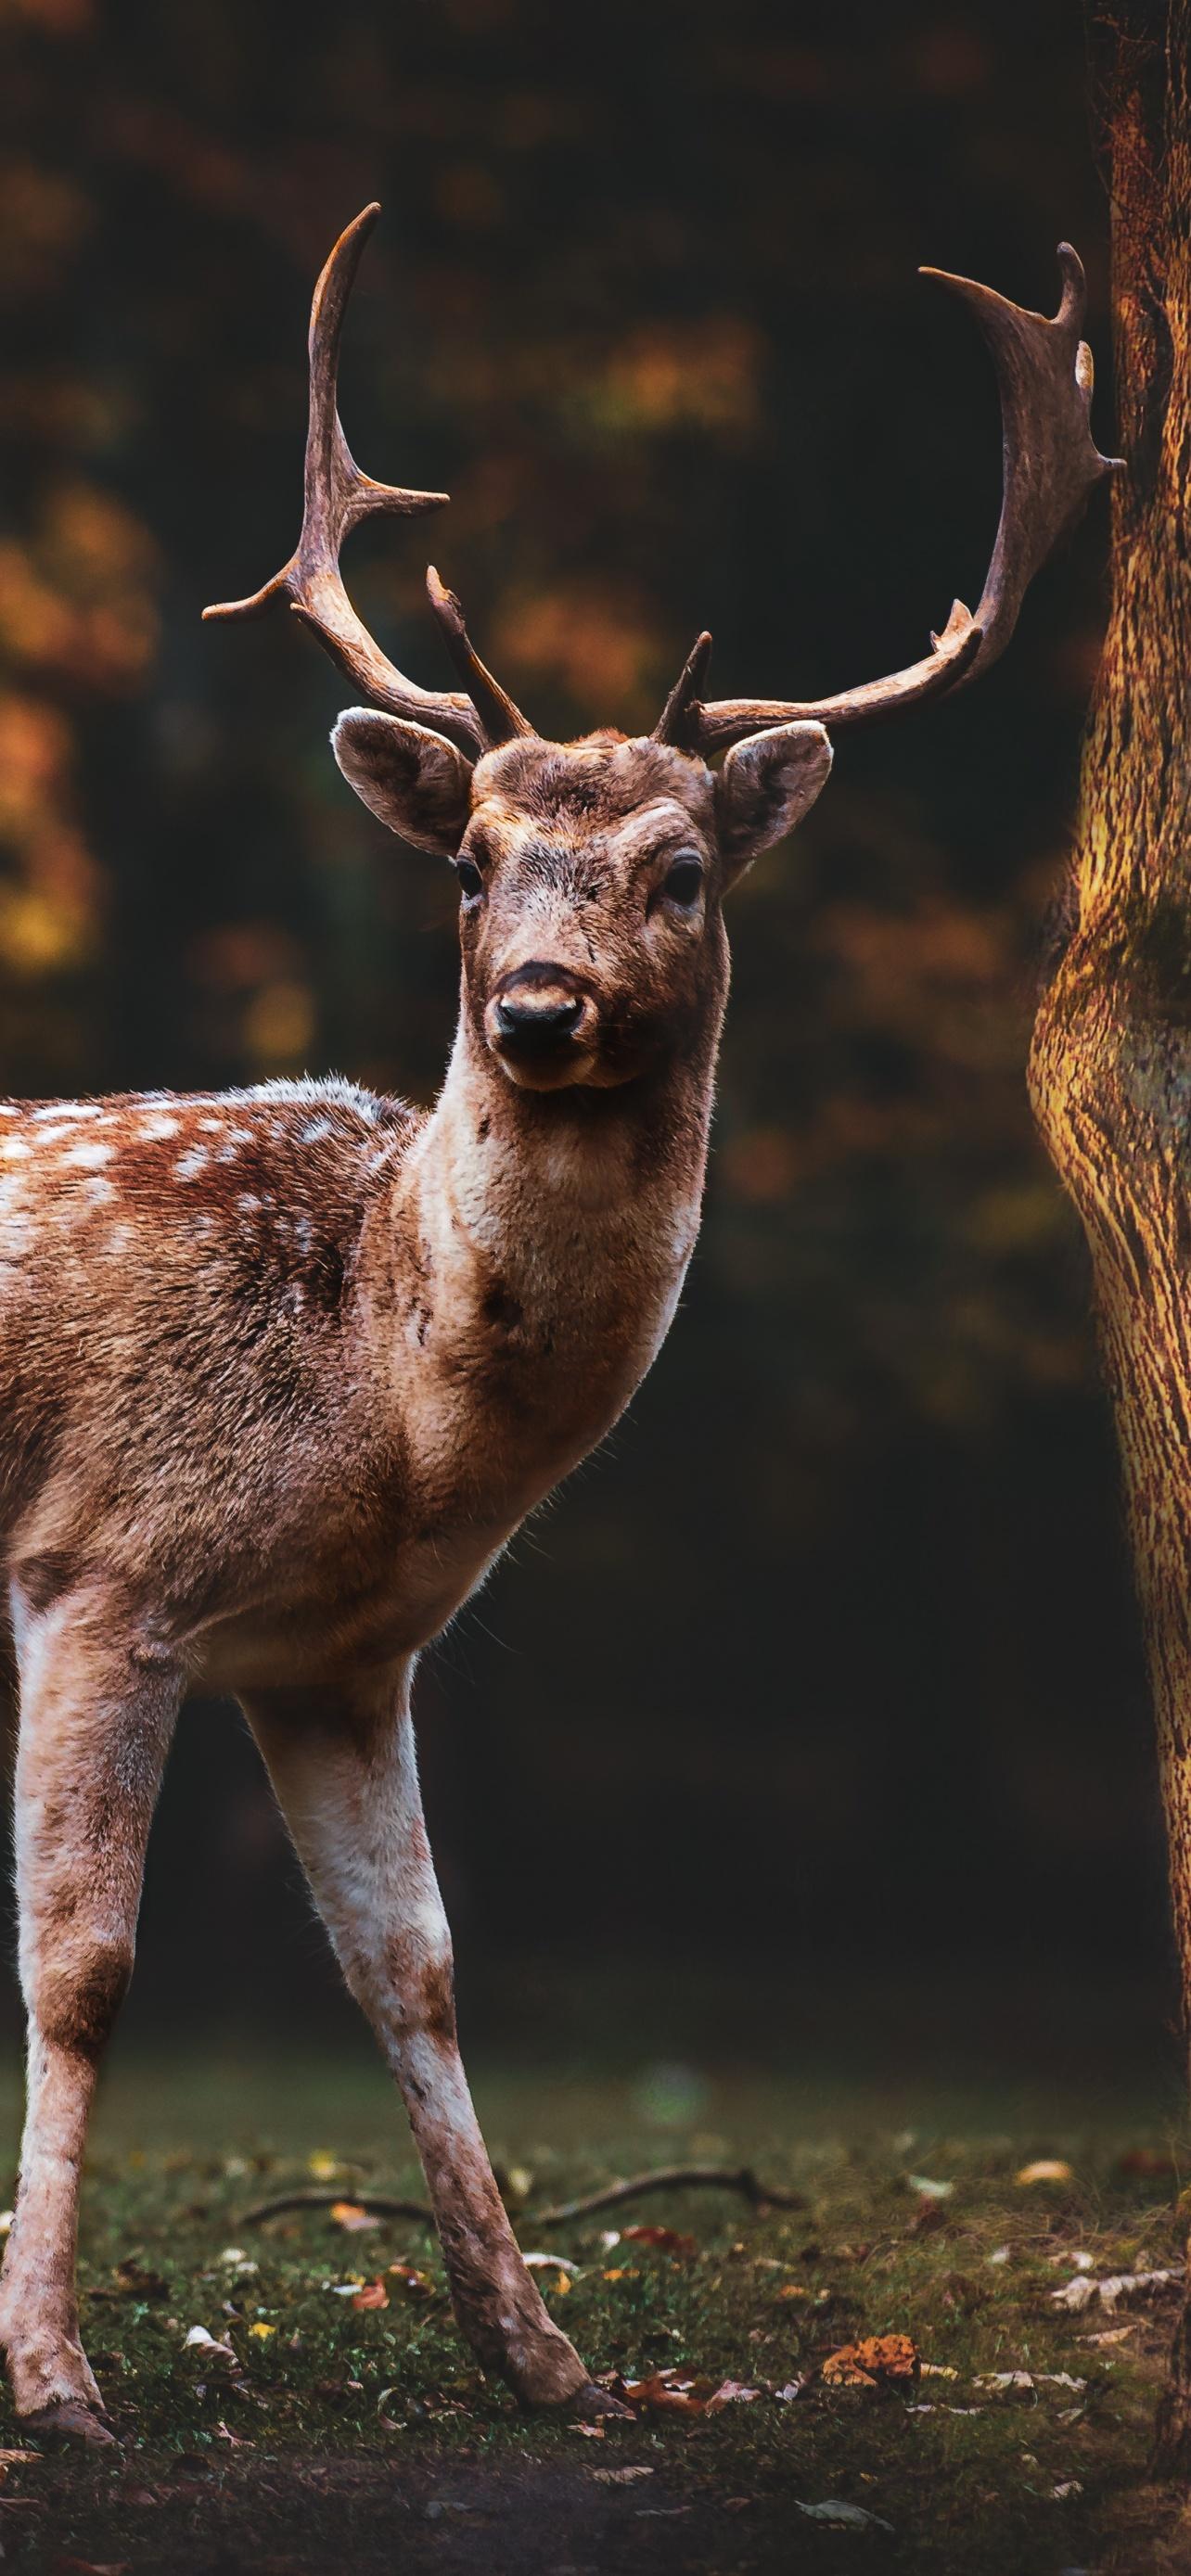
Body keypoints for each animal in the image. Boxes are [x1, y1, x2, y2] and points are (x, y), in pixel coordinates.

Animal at [0, 206, 1116, 2442]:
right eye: (471, 864)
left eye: (681, 870)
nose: (532, 1004)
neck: (384, 1401)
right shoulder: (100, 1565)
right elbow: (81, 1976)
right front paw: (55, 2379)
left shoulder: (337, 1656)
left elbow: (417, 1968)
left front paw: (545, 2355)